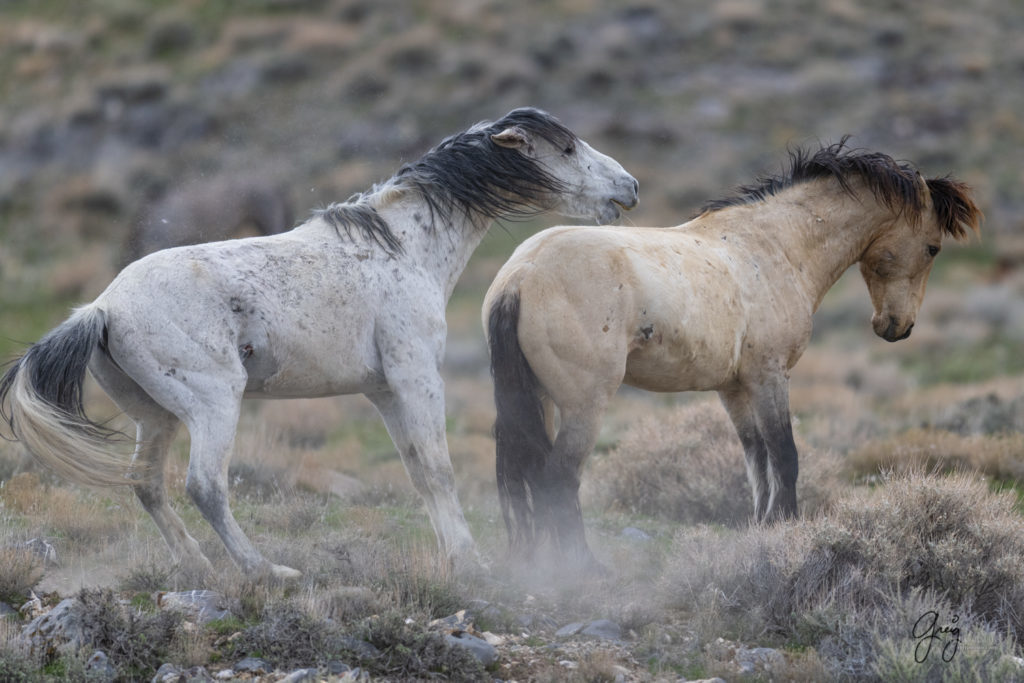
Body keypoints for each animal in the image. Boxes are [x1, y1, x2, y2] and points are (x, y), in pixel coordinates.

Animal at [0, 109, 634, 581]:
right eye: (567, 149)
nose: (628, 187)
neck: (403, 247)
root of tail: (102, 308)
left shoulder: (385, 392)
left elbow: (417, 471)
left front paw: (452, 556)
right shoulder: (416, 378)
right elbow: (439, 470)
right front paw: (469, 561)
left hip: (154, 416)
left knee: (147, 485)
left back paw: (198, 566)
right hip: (213, 405)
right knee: (204, 486)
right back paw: (266, 571)